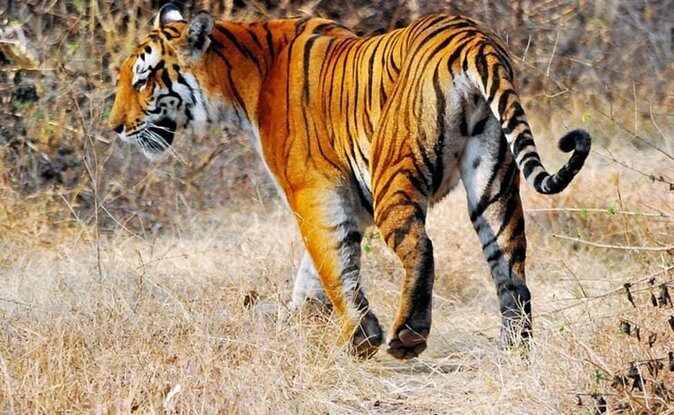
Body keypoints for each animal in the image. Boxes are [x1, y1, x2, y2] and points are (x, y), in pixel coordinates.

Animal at [109, 3, 591, 359]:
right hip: (492, 180)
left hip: (393, 171)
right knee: (510, 265)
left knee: (421, 248)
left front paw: (360, 339)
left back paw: (407, 337)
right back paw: (515, 350)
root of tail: (472, 38)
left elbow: (333, 264)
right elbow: (313, 271)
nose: (114, 127)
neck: (239, 80)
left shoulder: (313, 191)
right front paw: (299, 319)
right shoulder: (346, 200)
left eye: (143, 78)